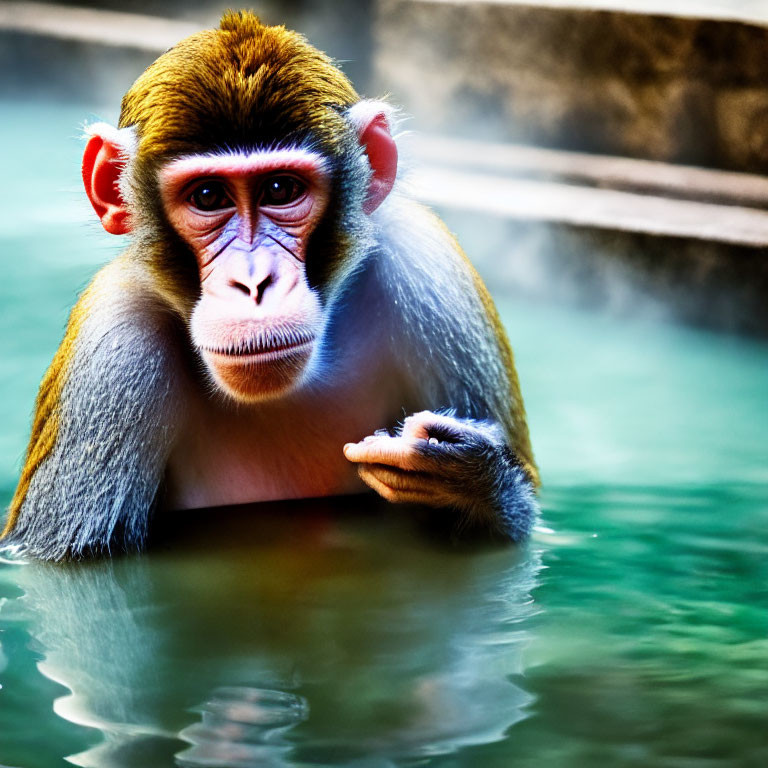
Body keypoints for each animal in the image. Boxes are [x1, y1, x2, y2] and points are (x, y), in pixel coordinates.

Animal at [1, 7, 540, 560]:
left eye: (281, 189)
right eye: (208, 196)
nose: (254, 282)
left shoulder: (430, 266)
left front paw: (467, 476)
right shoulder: (111, 346)